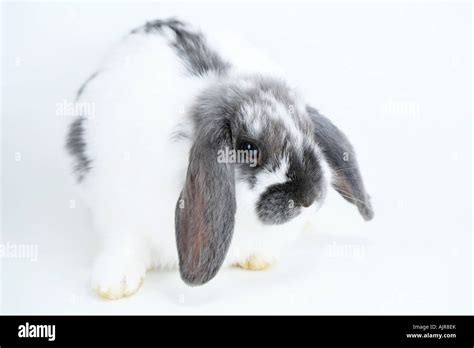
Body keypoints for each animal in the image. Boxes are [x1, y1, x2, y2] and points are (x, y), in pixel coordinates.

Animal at [65, 18, 374, 300]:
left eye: (309, 133)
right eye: (248, 147)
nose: (307, 197)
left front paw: (259, 258)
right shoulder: (120, 216)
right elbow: (123, 245)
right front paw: (113, 286)